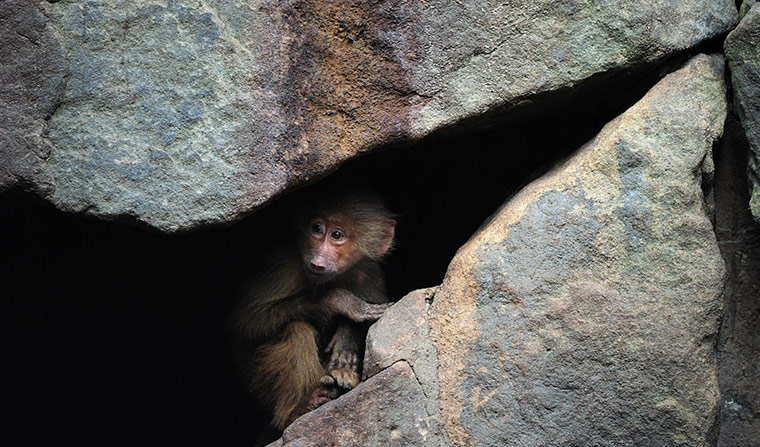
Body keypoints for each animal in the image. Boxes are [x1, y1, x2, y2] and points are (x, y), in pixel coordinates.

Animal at [228, 189, 397, 431]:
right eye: (317, 229)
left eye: (337, 235)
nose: (317, 260)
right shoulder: (282, 265)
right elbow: (248, 322)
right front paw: (341, 301)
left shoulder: (368, 272)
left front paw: (346, 339)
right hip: (255, 384)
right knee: (297, 330)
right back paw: (299, 409)